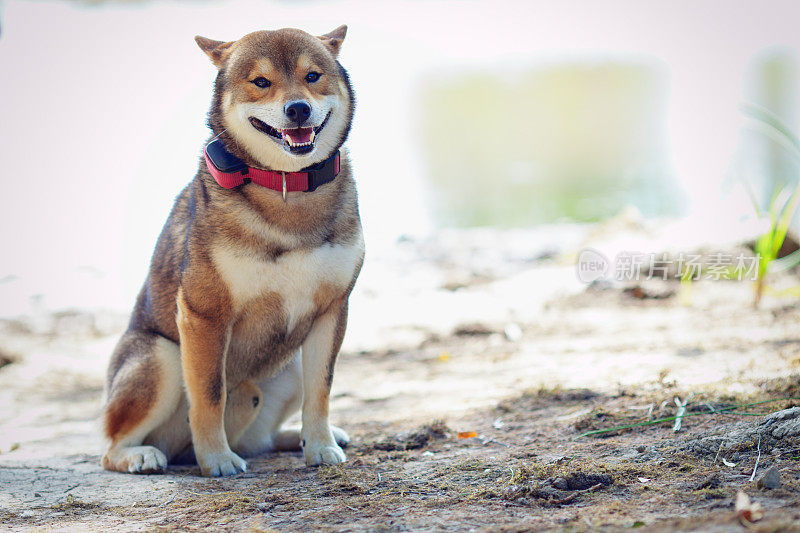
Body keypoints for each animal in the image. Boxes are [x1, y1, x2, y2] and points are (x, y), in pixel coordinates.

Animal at [101, 25, 364, 476]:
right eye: (261, 82)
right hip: (162, 357)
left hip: (290, 366)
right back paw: (141, 455)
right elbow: (209, 395)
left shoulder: (332, 310)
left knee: (261, 439)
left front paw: (321, 446)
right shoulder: (204, 314)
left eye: (312, 76)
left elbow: (322, 390)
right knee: (110, 447)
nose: (297, 109)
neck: (286, 187)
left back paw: (296, 439)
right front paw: (217, 460)